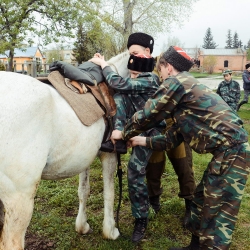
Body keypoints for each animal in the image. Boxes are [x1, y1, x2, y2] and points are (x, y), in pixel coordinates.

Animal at [0, 51, 130, 250]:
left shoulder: (84, 156)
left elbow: (83, 190)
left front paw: (82, 226)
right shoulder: (109, 154)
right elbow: (110, 192)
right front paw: (110, 230)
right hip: (19, 198)